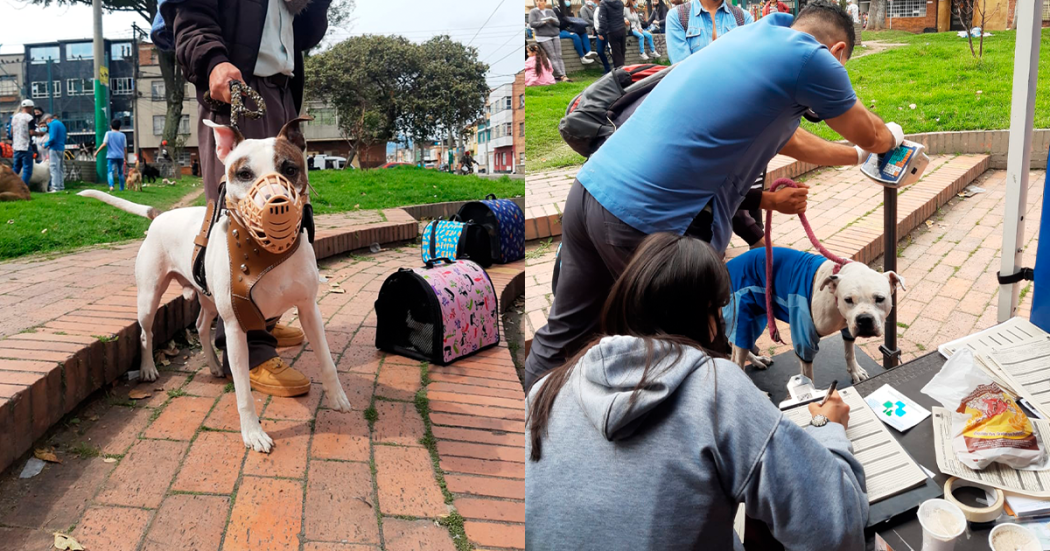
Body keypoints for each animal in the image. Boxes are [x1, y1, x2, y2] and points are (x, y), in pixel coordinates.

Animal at [80, 115, 352, 451]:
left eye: (290, 168)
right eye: (244, 174)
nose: (276, 202)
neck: (267, 255)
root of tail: (160, 216)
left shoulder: (309, 310)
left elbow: (326, 359)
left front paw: (337, 397)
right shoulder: (236, 328)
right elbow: (244, 391)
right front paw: (253, 433)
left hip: (207, 297)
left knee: (200, 324)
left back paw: (211, 364)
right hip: (148, 297)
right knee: (146, 332)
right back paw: (147, 369)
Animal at [726, 246, 907, 384]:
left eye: (880, 299)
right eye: (848, 300)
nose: (864, 319)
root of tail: (727, 265)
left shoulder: (848, 328)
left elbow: (849, 352)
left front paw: (855, 372)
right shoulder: (804, 339)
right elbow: (807, 375)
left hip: (756, 318)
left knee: (736, 342)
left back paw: (757, 361)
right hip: (743, 315)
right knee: (737, 357)